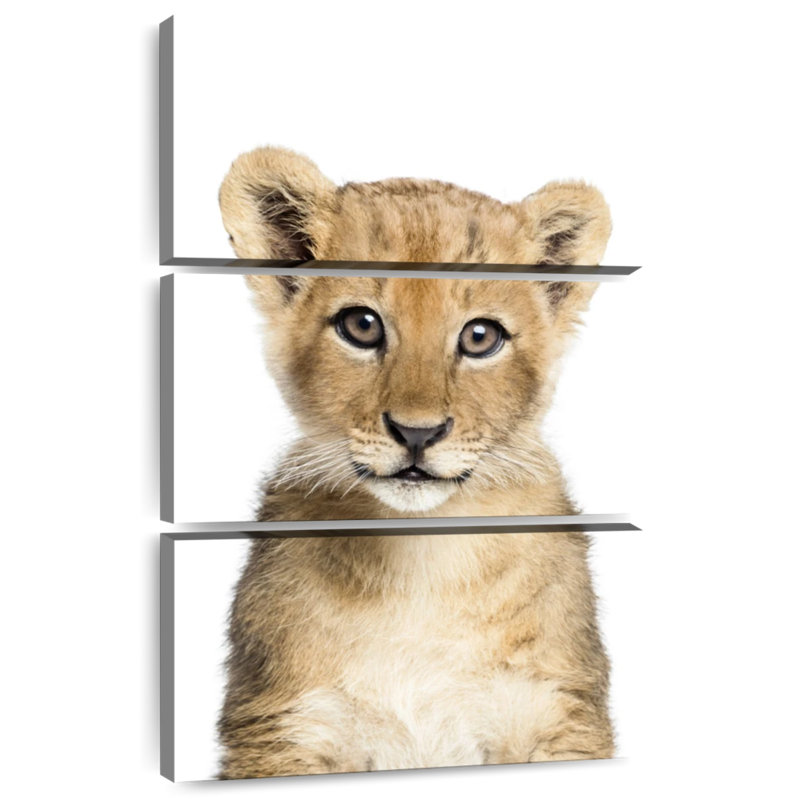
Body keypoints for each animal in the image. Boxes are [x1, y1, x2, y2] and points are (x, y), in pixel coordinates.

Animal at [215, 147, 614, 779]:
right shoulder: (284, 727)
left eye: (480, 336)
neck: (423, 560)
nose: (417, 433)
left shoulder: (559, 715)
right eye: (361, 325)